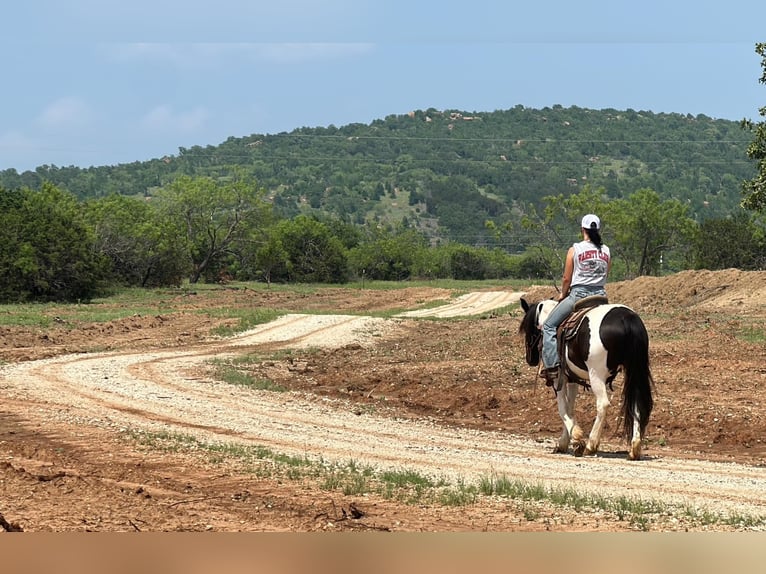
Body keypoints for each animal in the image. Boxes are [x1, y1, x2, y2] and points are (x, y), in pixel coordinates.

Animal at [520, 300, 656, 462]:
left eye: (527, 328)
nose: (530, 359)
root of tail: (626, 318)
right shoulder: (571, 379)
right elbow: (570, 407)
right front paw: (566, 441)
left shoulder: (558, 379)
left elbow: (562, 407)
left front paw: (576, 437)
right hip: (633, 371)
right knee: (636, 404)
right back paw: (634, 448)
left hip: (596, 374)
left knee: (603, 404)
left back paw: (591, 445)